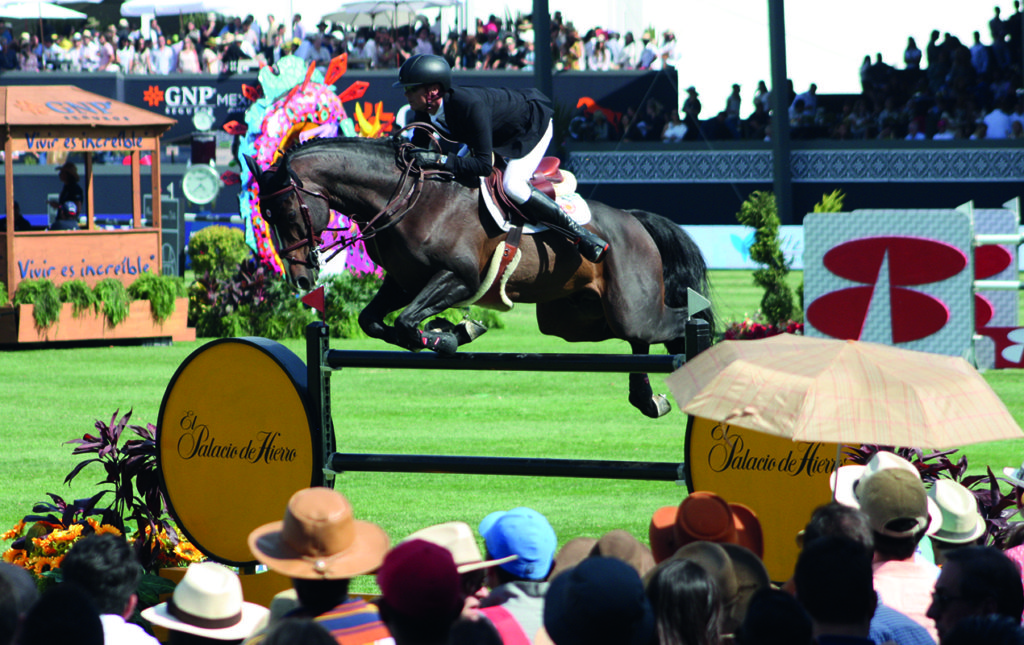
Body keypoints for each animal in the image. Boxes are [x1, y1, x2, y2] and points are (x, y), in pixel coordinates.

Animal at [246, 136, 712, 419]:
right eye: (264, 214)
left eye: (286, 211)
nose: (302, 280)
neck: (408, 197)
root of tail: (634, 220)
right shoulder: (403, 282)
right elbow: (376, 322)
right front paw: (451, 330)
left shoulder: (460, 278)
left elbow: (406, 322)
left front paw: (451, 334)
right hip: (575, 321)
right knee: (638, 342)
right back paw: (648, 398)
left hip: (631, 308)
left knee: (673, 324)